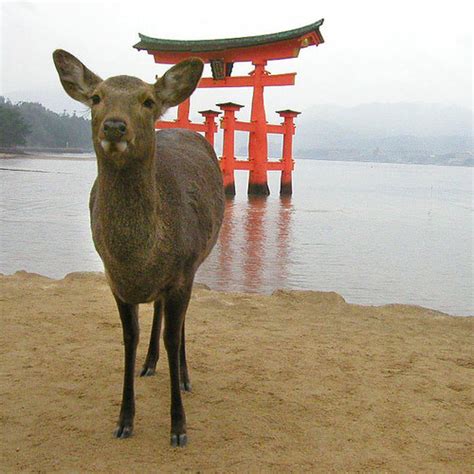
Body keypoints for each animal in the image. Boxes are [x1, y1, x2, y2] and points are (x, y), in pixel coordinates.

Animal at [51, 50, 224, 446]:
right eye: (96, 97)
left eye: (147, 101)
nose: (114, 127)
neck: (139, 261)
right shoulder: (114, 280)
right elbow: (129, 338)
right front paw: (124, 420)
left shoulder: (183, 273)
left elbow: (173, 337)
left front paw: (178, 427)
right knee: (156, 312)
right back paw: (149, 364)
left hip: (196, 263)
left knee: (177, 325)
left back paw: (183, 376)